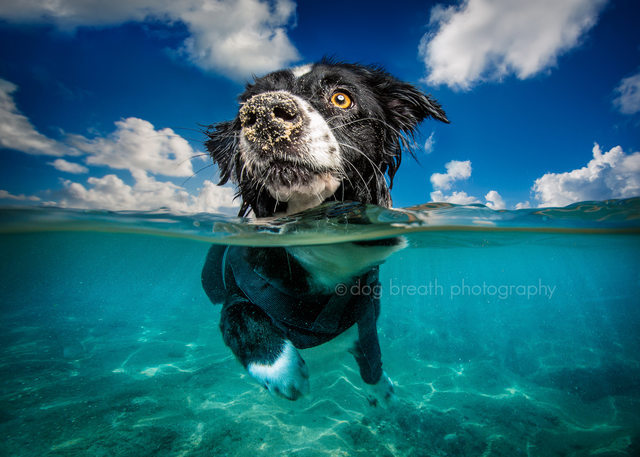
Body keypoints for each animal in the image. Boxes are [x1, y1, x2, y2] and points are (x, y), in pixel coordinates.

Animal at [202, 58, 448, 400]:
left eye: (341, 98)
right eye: (244, 112)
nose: (262, 113)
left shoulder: (366, 308)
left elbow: (371, 350)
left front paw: (380, 390)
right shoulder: (237, 291)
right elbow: (240, 317)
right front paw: (282, 371)